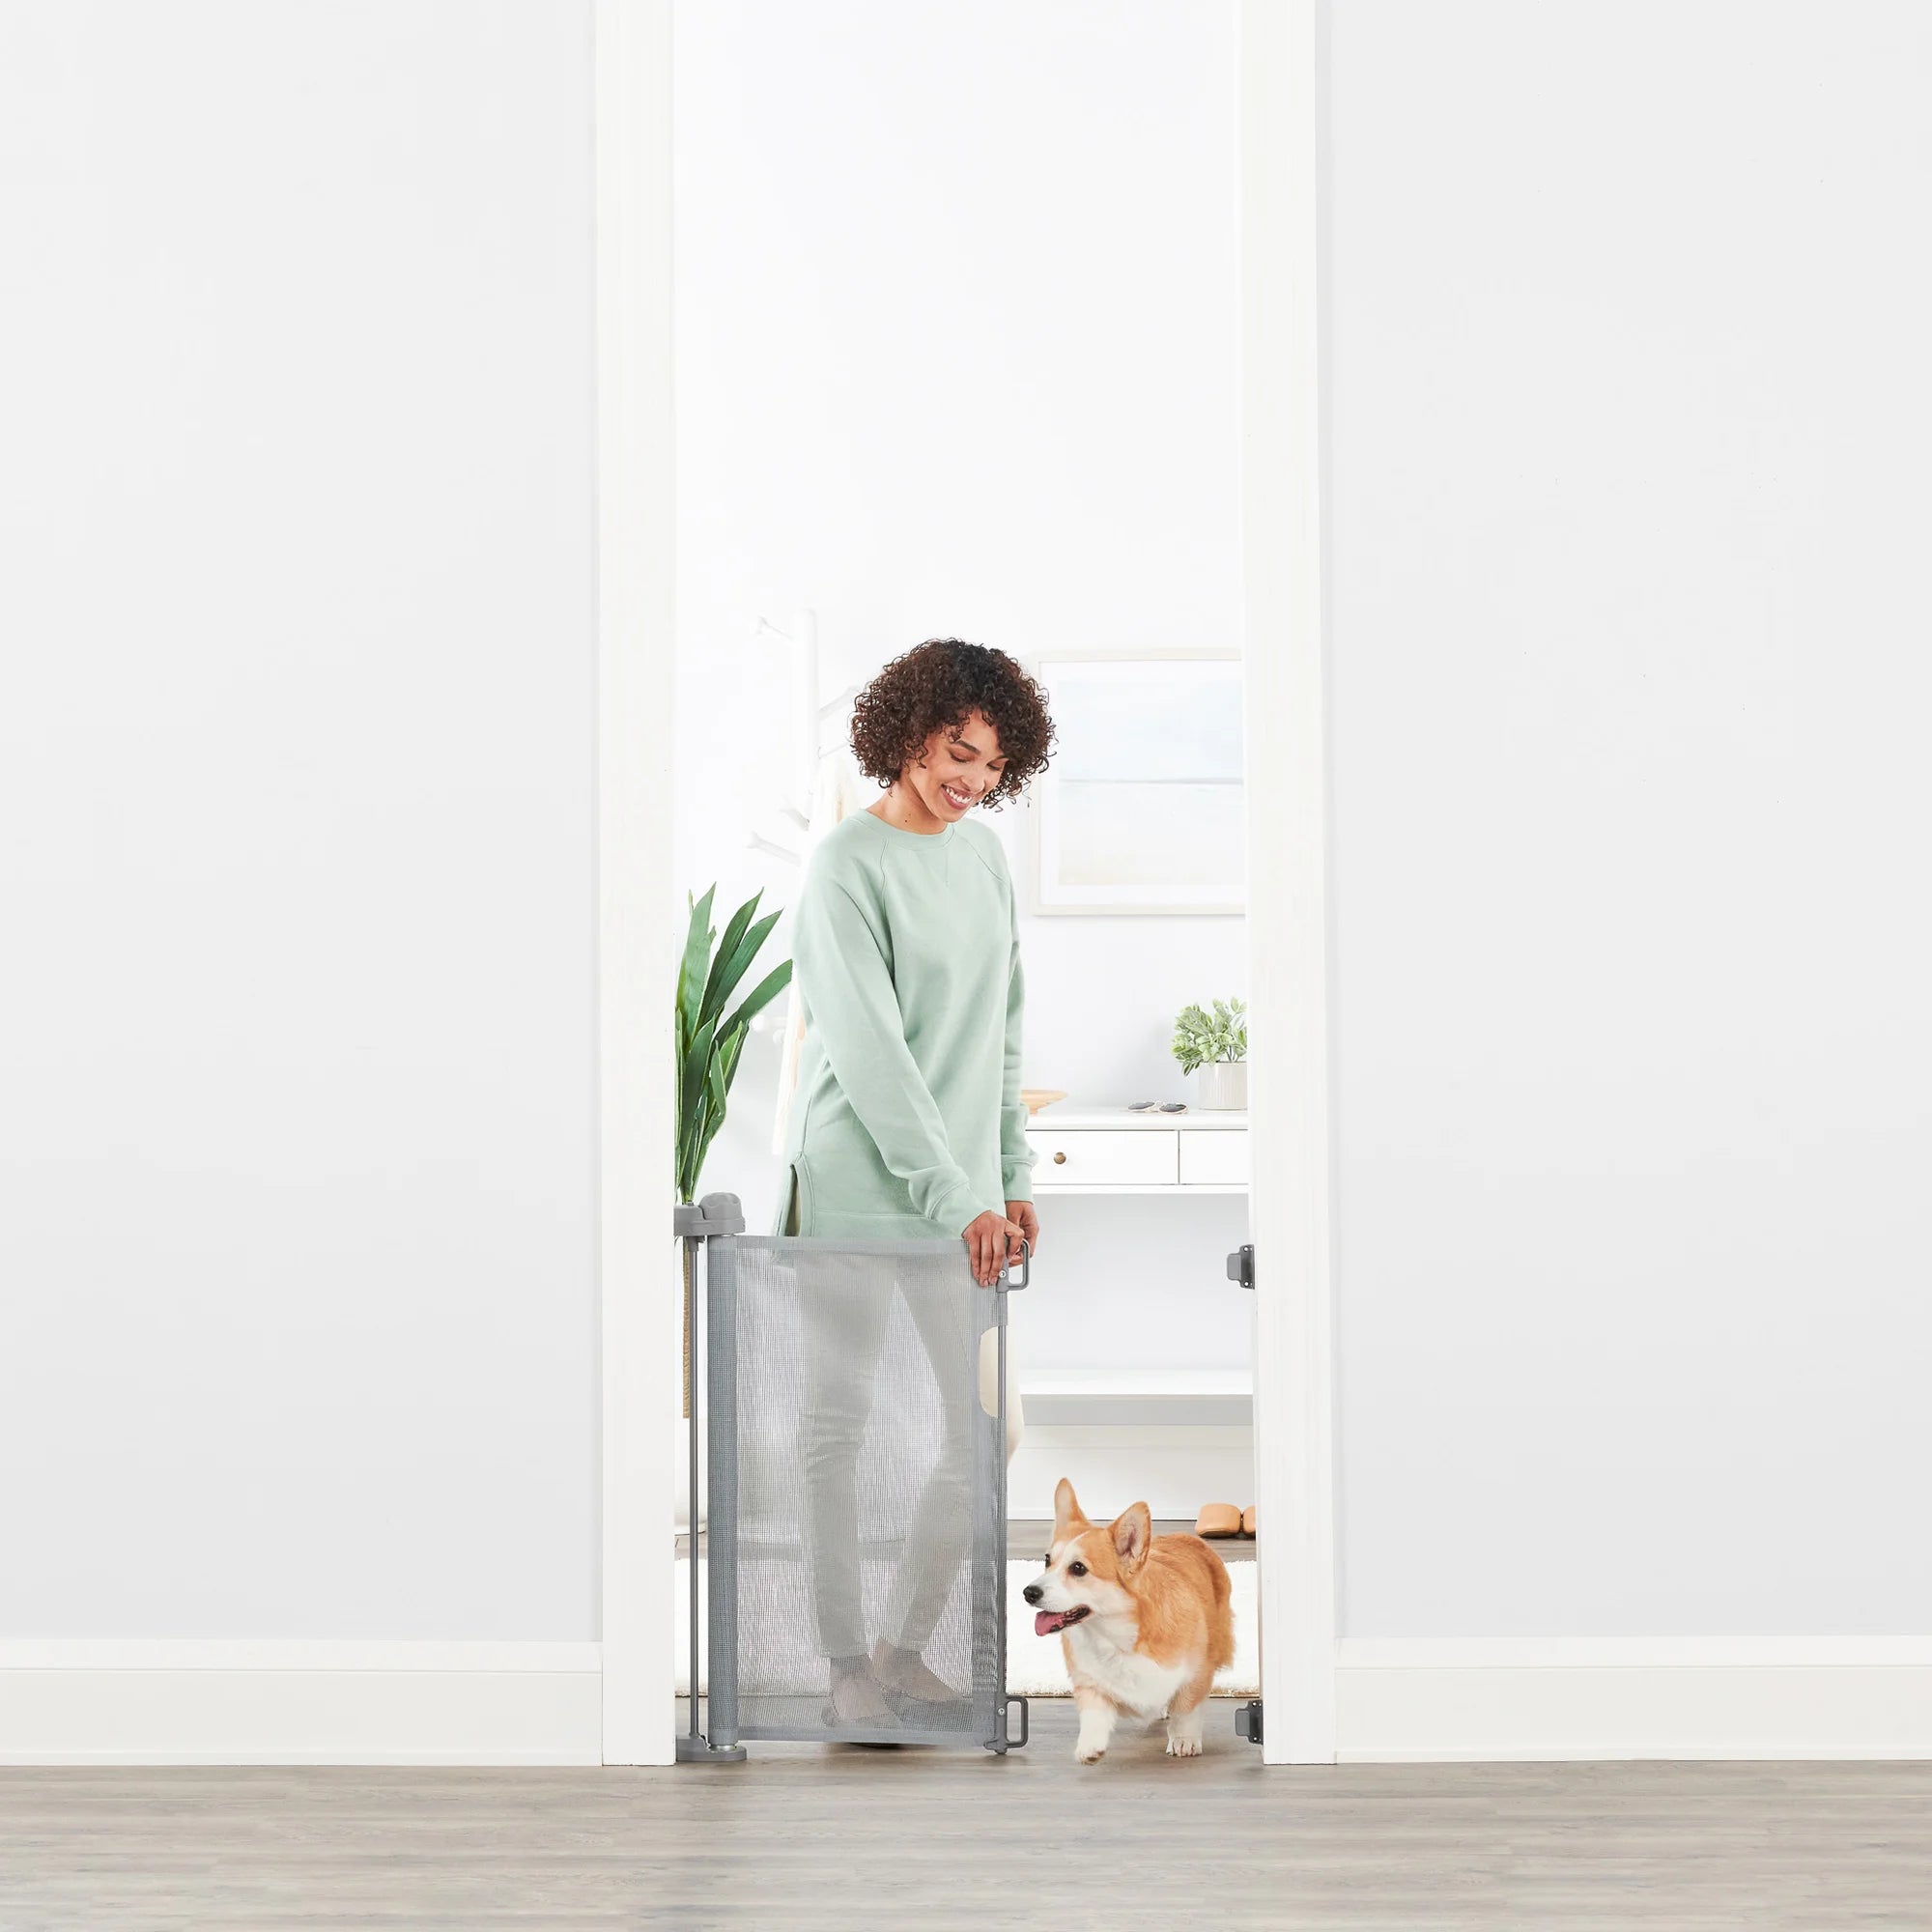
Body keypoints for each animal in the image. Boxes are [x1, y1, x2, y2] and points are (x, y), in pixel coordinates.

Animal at [1028, 1476, 1236, 1770]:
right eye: (1047, 1560)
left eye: (1078, 1568)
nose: (1028, 1592)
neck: (1114, 1637)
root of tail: (1187, 1537)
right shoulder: (1088, 1681)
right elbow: (1094, 1712)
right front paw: (1089, 1747)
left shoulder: (1196, 1672)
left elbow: (1186, 1709)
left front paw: (1184, 1740)